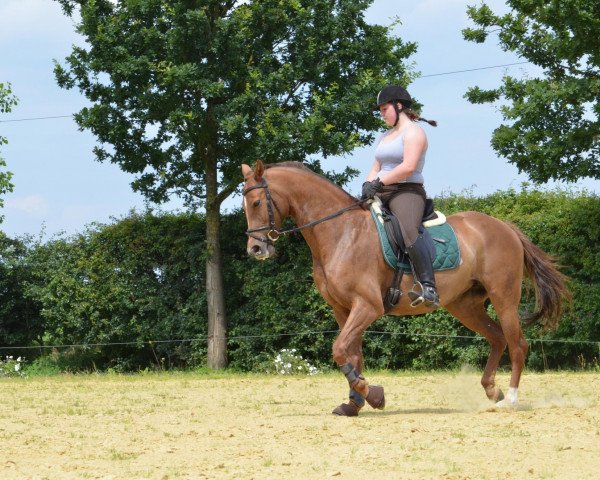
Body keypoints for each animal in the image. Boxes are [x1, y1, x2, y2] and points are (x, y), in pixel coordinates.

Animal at [241, 159, 568, 414]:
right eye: (244, 206)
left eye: (256, 203)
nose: (255, 249)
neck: (341, 232)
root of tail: (505, 226)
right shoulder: (343, 310)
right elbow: (351, 353)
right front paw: (355, 403)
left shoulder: (367, 306)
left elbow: (339, 350)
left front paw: (371, 394)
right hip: (465, 305)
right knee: (498, 338)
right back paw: (492, 390)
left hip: (504, 298)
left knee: (517, 343)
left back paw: (509, 399)